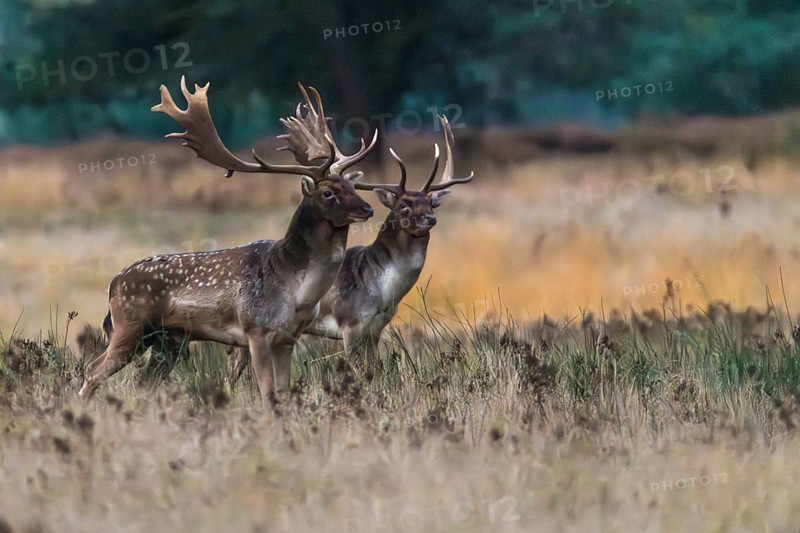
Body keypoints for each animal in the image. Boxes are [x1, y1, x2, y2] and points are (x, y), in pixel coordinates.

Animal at [78, 76, 377, 407]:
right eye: (328, 192)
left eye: (352, 185)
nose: (368, 209)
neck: (298, 290)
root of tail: (114, 283)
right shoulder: (255, 329)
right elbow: (268, 394)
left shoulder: (288, 337)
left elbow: (283, 392)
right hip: (129, 326)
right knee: (93, 369)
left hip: (167, 340)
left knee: (145, 382)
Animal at [228, 115, 473, 382]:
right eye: (403, 205)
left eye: (431, 203)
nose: (430, 218)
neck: (383, 290)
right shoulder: (350, 322)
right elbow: (359, 369)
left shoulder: (376, 328)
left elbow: (375, 367)